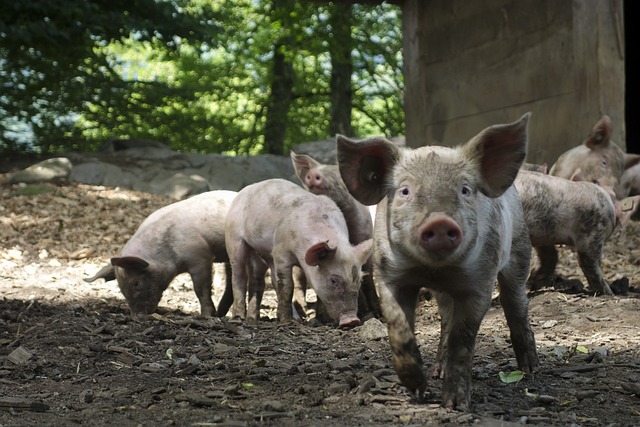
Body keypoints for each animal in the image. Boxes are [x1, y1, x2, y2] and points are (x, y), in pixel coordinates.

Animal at [82, 191, 238, 318]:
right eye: (120, 287)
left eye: (136, 283)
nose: (136, 316)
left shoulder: (200, 257)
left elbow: (201, 289)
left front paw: (206, 316)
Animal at [226, 177, 372, 328]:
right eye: (333, 280)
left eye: (359, 279)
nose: (352, 320)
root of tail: (246, 189)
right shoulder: (280, 251)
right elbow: (287, 286)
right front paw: (286, 321)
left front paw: (322, 320)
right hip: (234, 238)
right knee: (239, 275)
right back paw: (240, 317)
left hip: (262, 253)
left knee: (267, 280)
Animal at [292, 151, 382, 320]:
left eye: (339, 174)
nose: (313, 174)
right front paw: (320, 319)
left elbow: (367, 279)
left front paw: (376, 314)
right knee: (298, 281)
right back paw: (303, 312)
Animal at [336, 113, 540, 412]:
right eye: (405, 191)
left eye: (465, 189)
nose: (440, 222)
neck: (434, 270)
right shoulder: (388, 274)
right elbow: (399, 328)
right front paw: (417, 390)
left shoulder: (480, 280)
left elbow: (463, 339)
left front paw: (456, 405)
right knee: (446, 320)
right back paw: (436, 372)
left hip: (519, 249)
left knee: (515, 304)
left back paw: (531, 370)